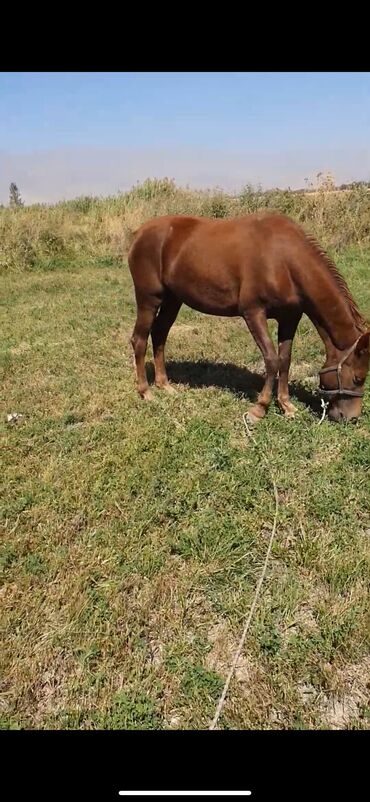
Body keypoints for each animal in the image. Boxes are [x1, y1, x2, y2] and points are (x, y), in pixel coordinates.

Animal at [128, 212, 370, 424]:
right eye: (358, 378)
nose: (351, 418)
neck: (283, 259)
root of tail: (139, 233)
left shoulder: (290, 317)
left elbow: (285, 360)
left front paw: (286, 405)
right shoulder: (253, 313)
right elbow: (271, 360)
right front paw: (259, 409)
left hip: (173, 300)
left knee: (159, 334)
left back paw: (164, 385)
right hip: (149, 299)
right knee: (139, 339)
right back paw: (146, 392)